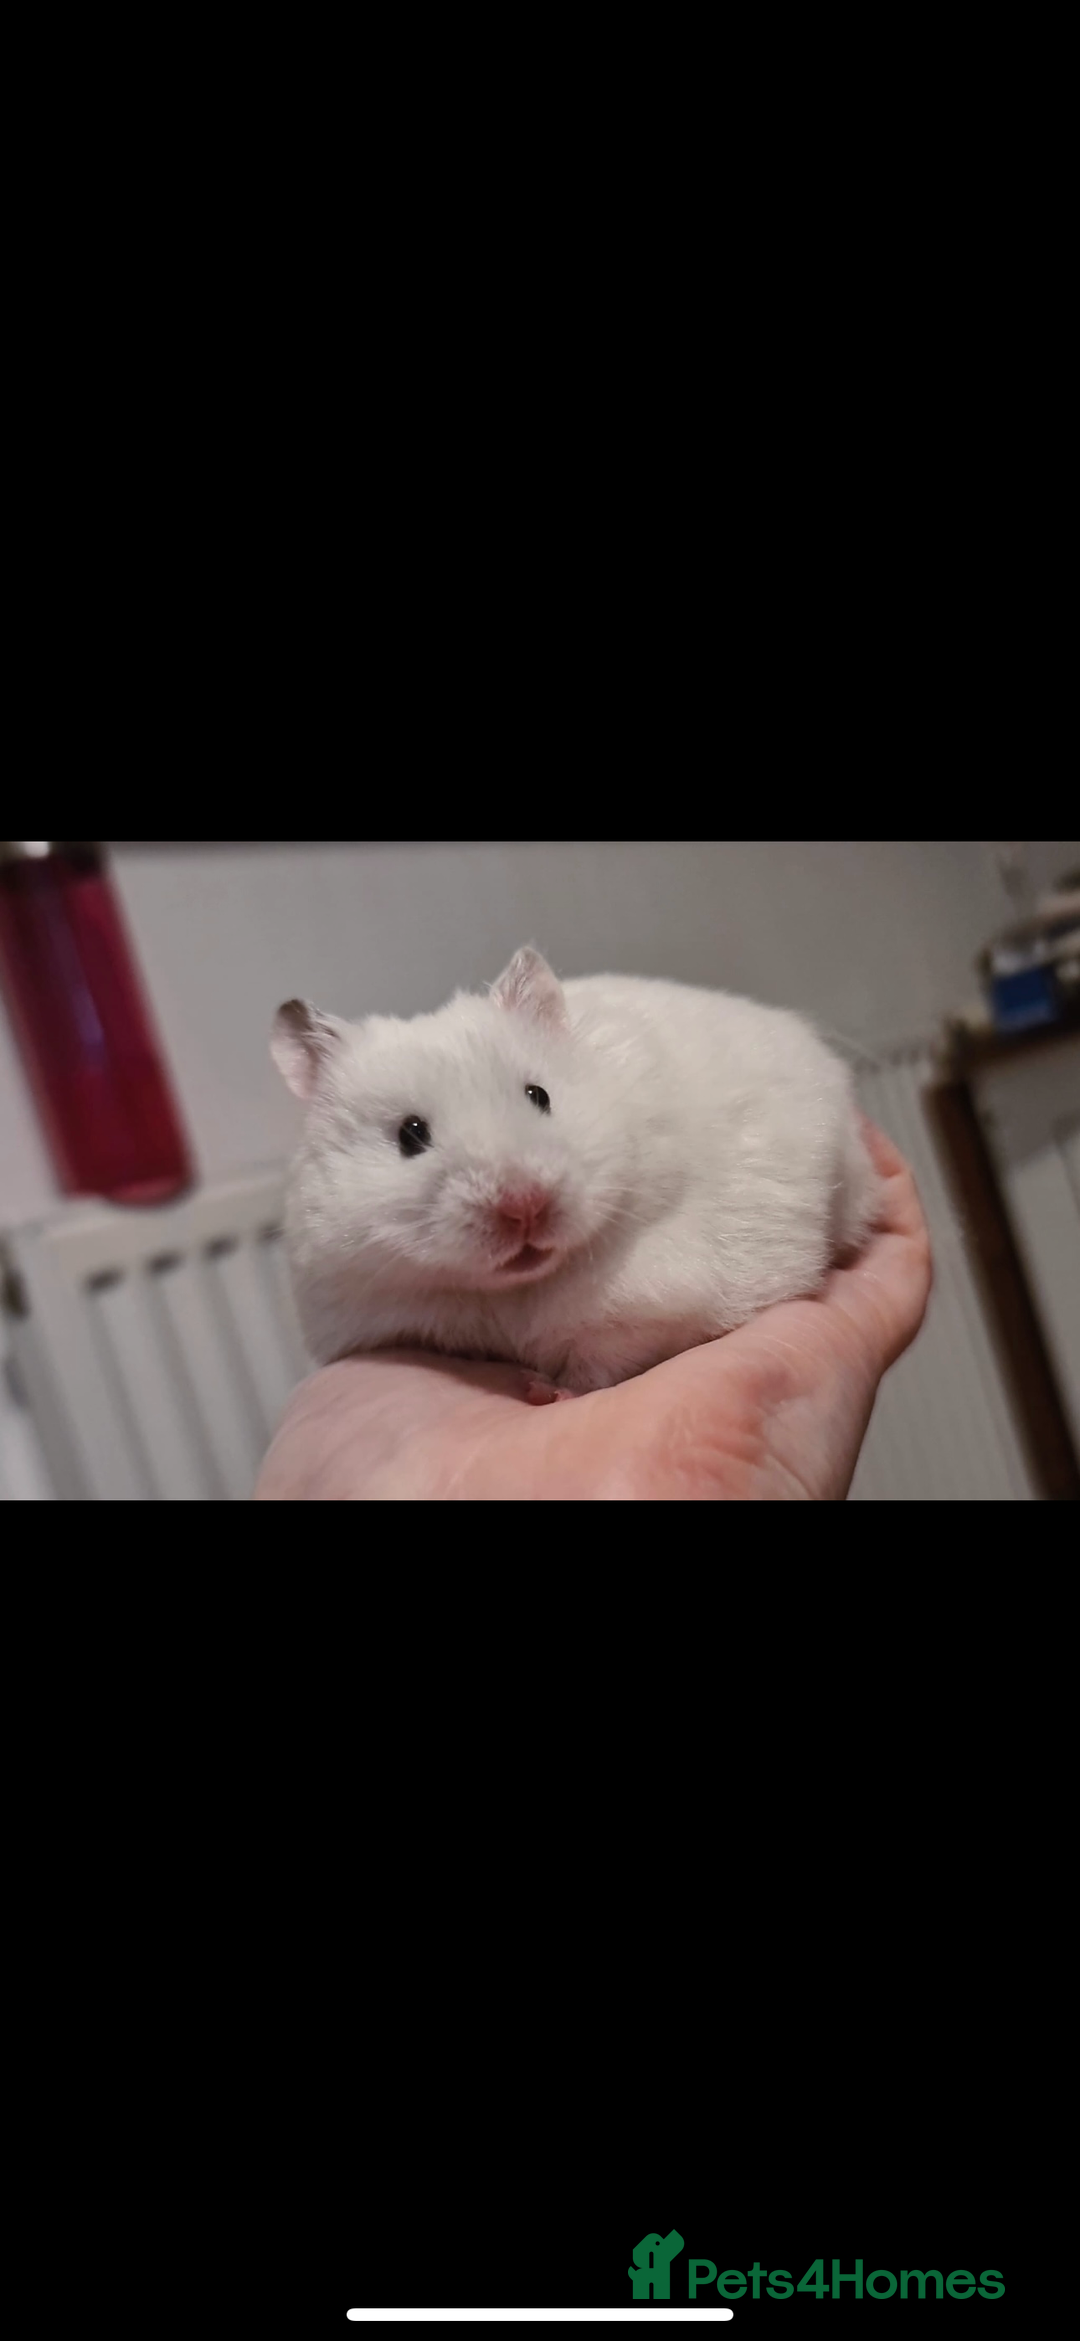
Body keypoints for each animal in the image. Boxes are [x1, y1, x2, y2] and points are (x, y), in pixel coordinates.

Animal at [271, 946, 880, 1395]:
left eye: (539, 1095)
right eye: (409, 1135)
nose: (525, 1208)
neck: (516, 1293)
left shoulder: (656, 1300)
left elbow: (605, 1356)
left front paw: (553, 1390)